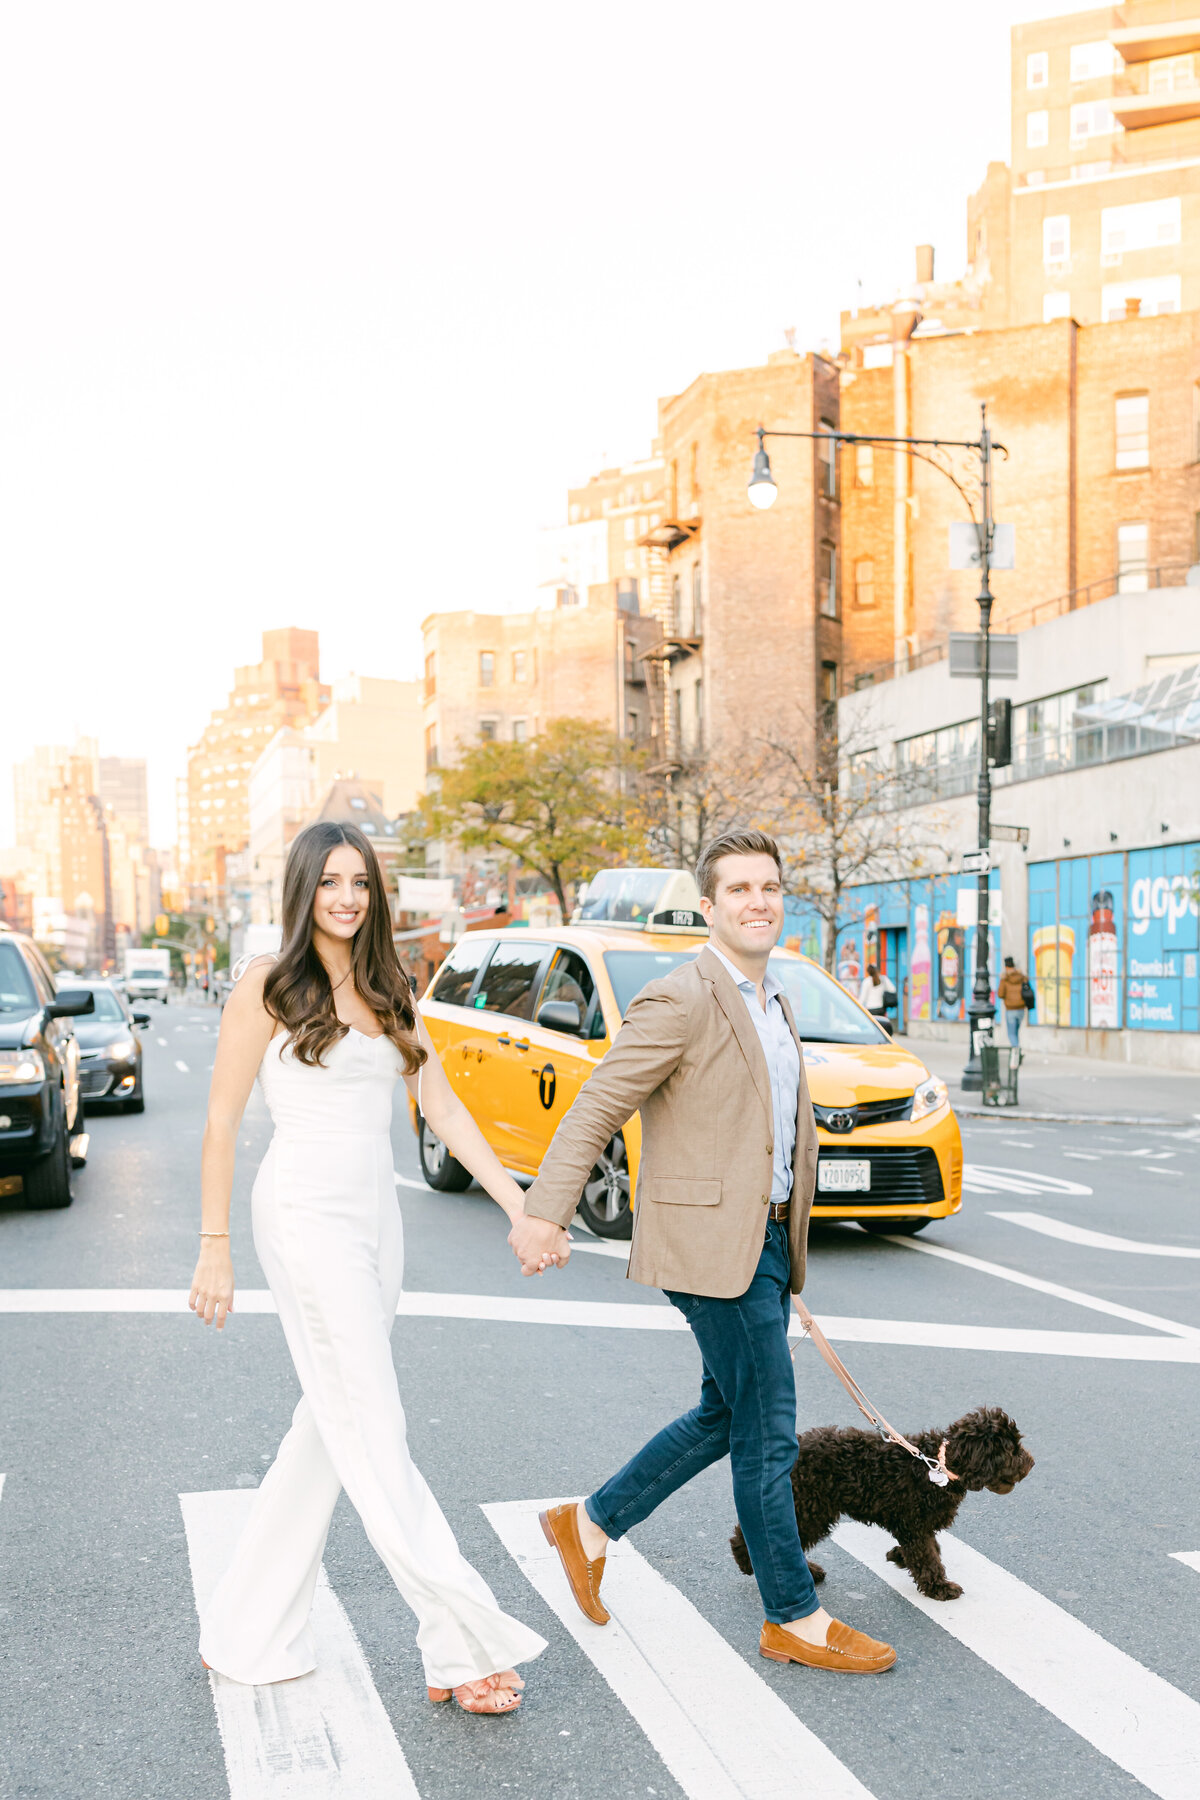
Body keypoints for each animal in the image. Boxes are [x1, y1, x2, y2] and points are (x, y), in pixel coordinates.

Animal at [726, 1404, 1036, 1605]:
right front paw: (939, 1587)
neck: (938, 1465)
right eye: (1011, 1449)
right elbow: (928, 1557)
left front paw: (899, 1556)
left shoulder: (918, 1524)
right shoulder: (913, 1523)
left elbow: (931, 1548)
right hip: (812, 1507)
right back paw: (748, 1561)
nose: (1032, 1463)